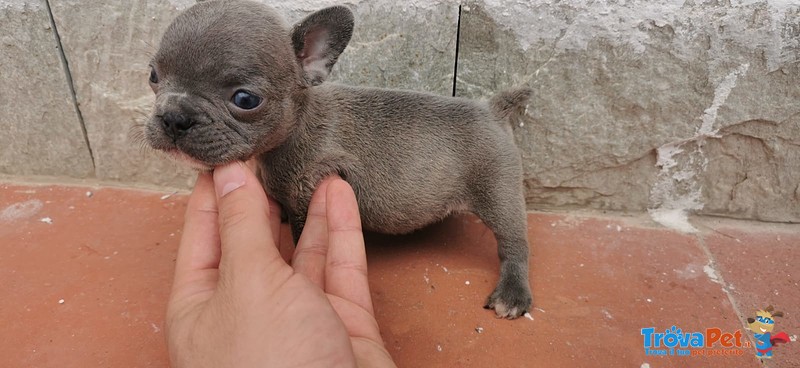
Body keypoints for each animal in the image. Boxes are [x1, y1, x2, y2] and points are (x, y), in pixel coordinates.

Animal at [147, 0, 536, 318]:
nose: (174, 117)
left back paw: (512, 294)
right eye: (153, 76)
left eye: (245, 99)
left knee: (514, 242)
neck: (296, 128)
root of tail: (493, 108)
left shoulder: (310, 192)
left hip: (499, 191)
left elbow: (303, 233)